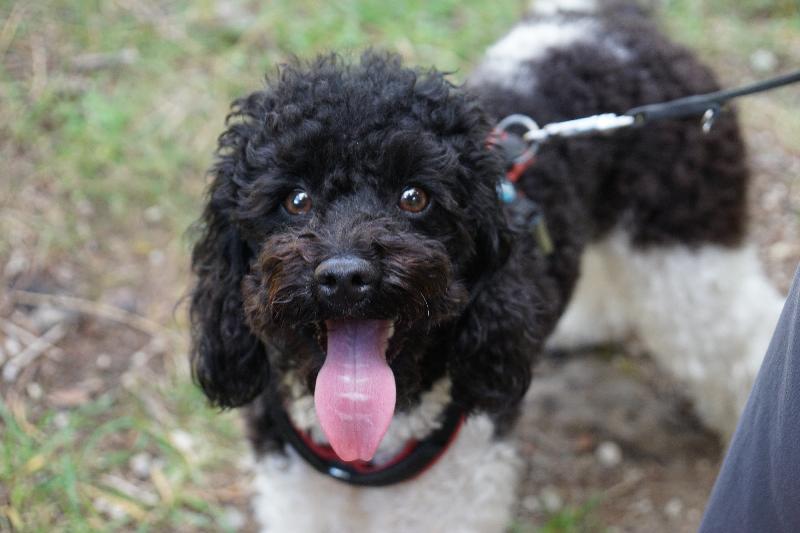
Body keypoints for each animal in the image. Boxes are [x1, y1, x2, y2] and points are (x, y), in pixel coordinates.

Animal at [189, 1, 784, 531]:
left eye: (414, 197)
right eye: (295, 200)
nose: (345, 276)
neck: (363, 444)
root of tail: (608, 22)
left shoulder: (454, 494)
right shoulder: (300, 492)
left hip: (687, 244)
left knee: (739, 334)